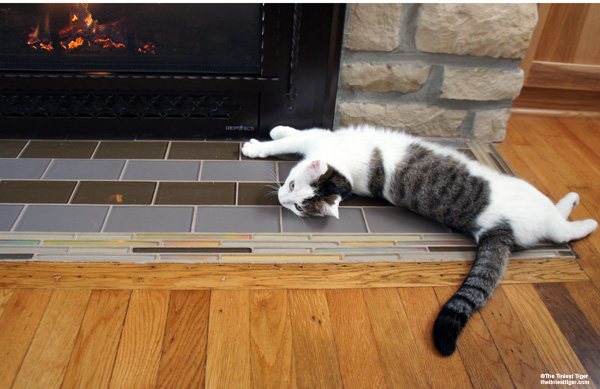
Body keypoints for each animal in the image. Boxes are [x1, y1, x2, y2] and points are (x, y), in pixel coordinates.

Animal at [241, 124, 596, 354]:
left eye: (294, 192)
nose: (283, 201)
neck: (346, 175)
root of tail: (496, 229)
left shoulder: (323, 138)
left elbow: (297, 134)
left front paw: (265, 139)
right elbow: (296, 135)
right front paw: (273, 135)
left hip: (533, 201)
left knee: (561, 229)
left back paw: (583, 213)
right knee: (559, 228)